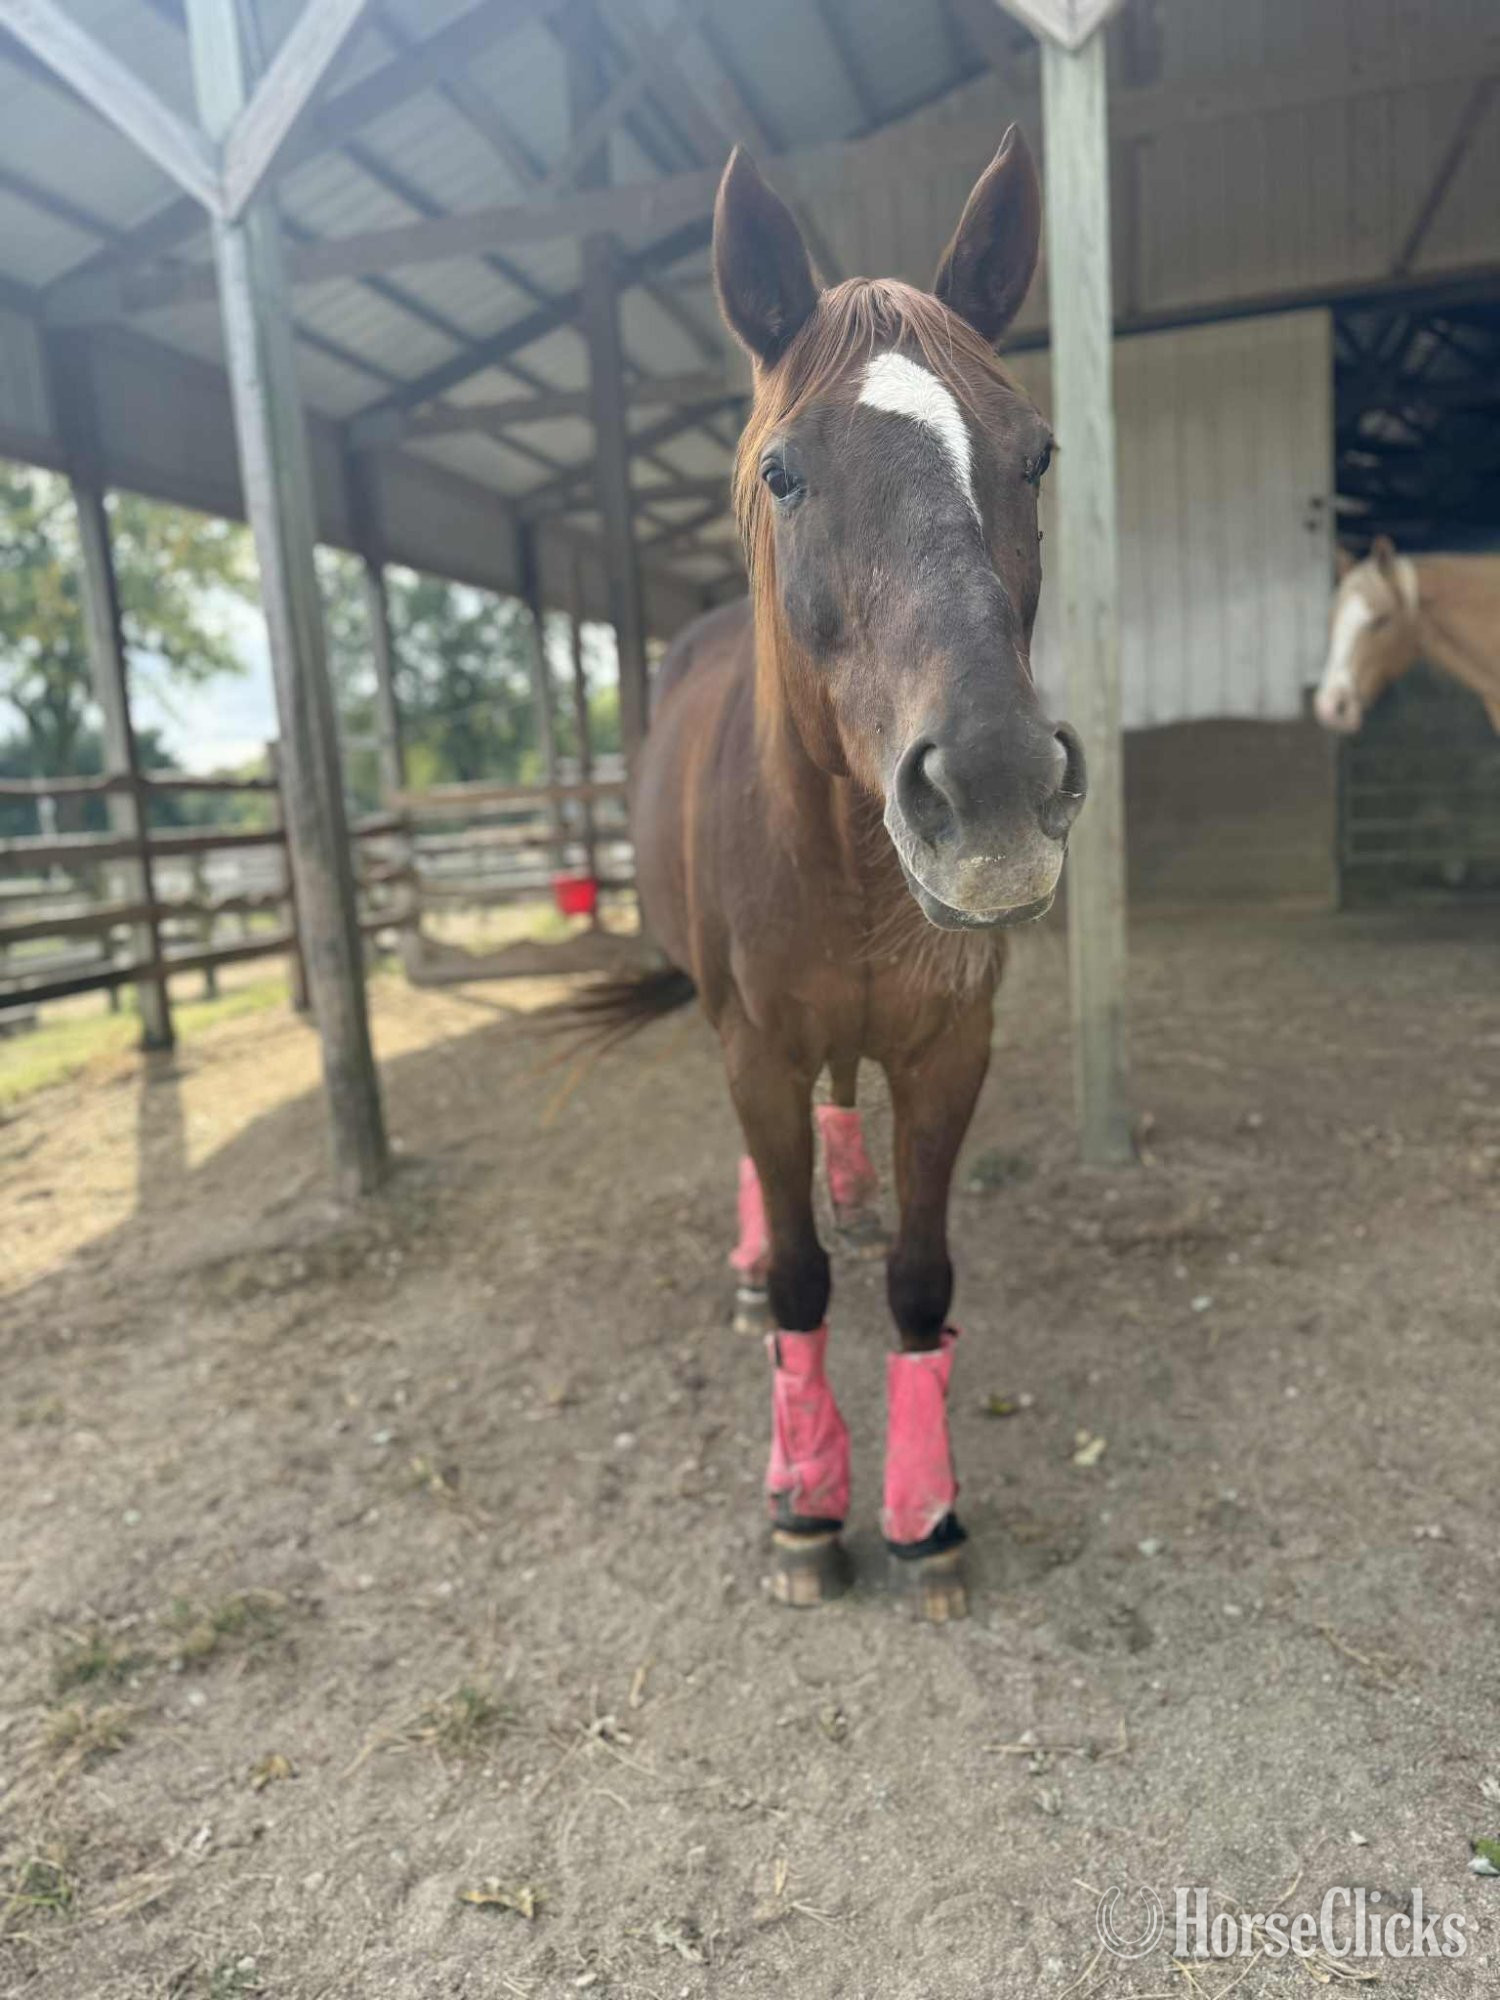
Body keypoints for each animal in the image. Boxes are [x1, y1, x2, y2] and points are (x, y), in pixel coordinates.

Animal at [590, 130, 1085, 1620]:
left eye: (1037, 455)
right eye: (783, 473)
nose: (993, 790)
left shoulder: (950, 1045)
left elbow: (921, 1279)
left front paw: (926, 1513)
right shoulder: (751, 1045)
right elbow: (811, 1283)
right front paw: (807, 1502)